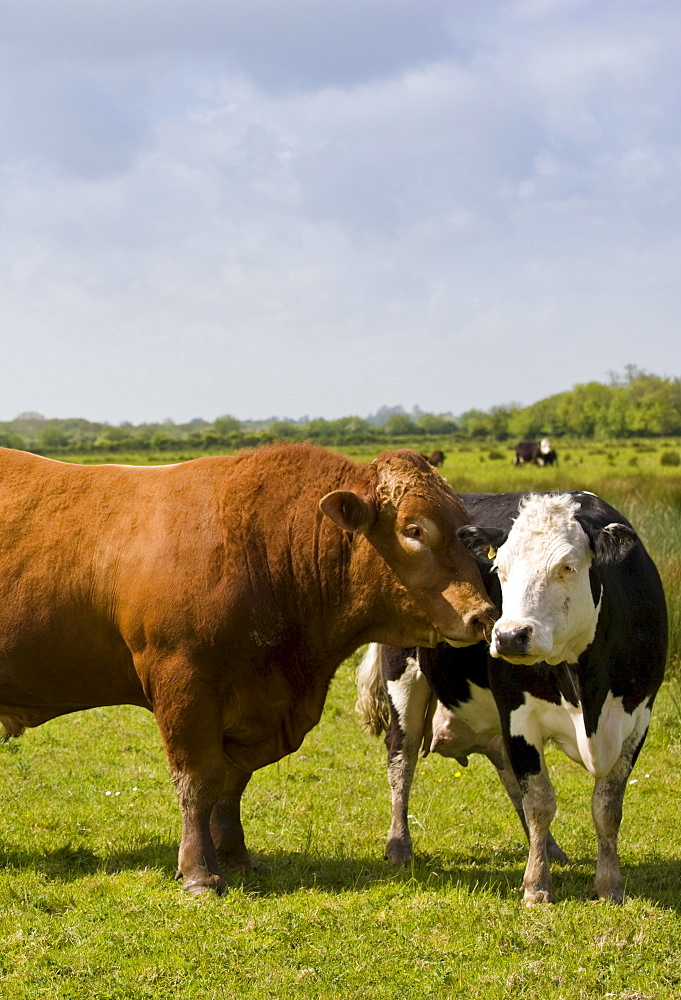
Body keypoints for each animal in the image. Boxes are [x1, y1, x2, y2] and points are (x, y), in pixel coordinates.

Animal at [0, 442, 494, 896]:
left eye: (466, 530)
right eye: (414, 529)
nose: (484, 613)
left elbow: (231, 783)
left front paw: (236, 857)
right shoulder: (184, 684)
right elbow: (198, 781)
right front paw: (199, 871)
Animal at [358, 492, 668, 908]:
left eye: (567, 567)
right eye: (499, 569)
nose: (508, 635)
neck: (586, 690)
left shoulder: (637, 720)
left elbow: (606, 807)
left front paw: (609, 884)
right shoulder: (519, 715)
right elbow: (539, 800)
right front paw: (536, 884)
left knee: (504, 768)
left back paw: (549, 847)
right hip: (404, 679)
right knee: (401, 758)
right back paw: (399, 845)